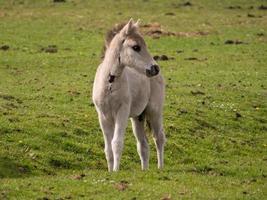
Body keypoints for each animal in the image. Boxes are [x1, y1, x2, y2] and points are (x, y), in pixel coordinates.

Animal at [93, 19, 166, 172]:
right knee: (143, 144)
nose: (155, 68)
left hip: (154, 112)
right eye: (136, 47)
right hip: (138, 117)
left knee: (159, 138)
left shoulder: (122, 112)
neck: (109, 85)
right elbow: (108, 149)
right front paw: (110, 171)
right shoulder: (102, 116)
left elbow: (117, 143)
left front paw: (115, 171)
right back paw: (144, 170)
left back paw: (160, 168)